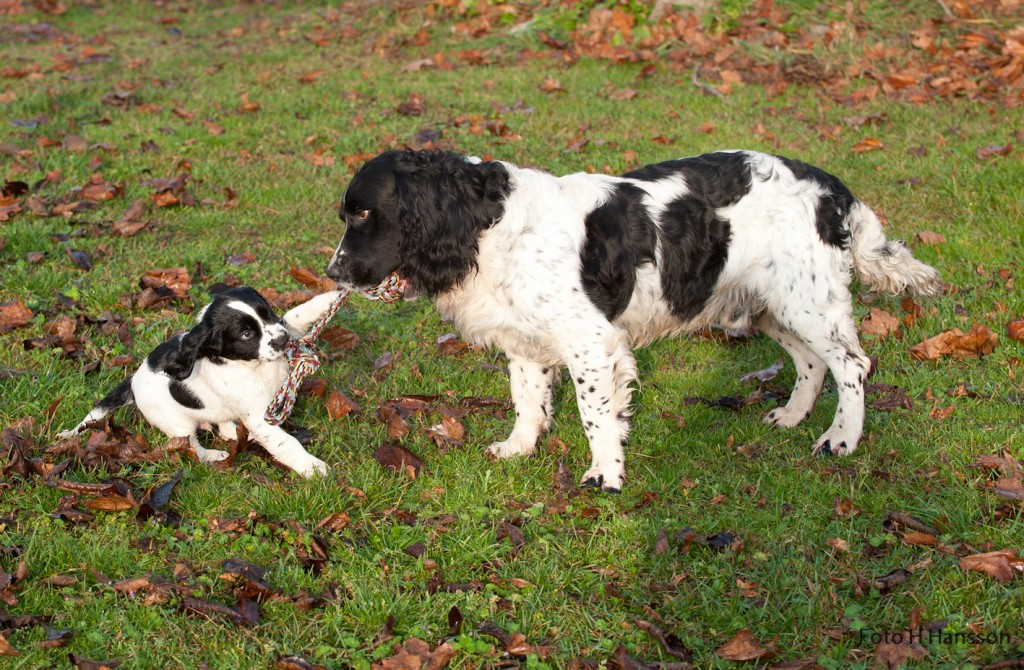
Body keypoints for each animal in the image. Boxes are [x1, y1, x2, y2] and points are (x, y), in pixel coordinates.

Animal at [58, 288, 339, 477]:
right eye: (247, 334)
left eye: (267, 313)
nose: (282, 341)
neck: (253, 366)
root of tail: (133, 380)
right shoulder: (259, 417)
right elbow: (286, 443)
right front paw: (313, 467)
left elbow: (294, 316)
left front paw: (329, 297)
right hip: (177, 424)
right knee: (192, 448)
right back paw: (213, 454)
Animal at [323, 148, 937, 493]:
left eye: (363, 213)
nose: (332, 273)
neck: (486, 222)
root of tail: (833, 189)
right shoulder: (527, 341)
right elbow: (527, 400)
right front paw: (520, 447)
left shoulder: (591, 343)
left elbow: (596, 415)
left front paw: (606, 475)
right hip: (770, 303)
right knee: (813, 362)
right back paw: (791, 416)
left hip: (805, 299)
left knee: (852, 364)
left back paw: (841, 439)